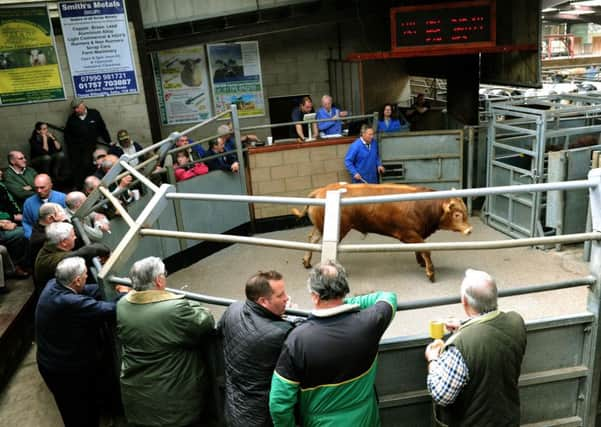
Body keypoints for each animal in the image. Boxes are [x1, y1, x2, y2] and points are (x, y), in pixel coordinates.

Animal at [292, 182, 474, 282]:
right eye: (457, 214)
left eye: (464, 210)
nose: (470, 229)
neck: (421, 206)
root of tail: (321, 191)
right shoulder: (409, 234)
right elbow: (426, 249)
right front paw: (430, 272)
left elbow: (420, 249)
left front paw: (421, 262)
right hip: (337, 229)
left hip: (320, 227)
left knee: (313, 239)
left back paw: (306, 261)